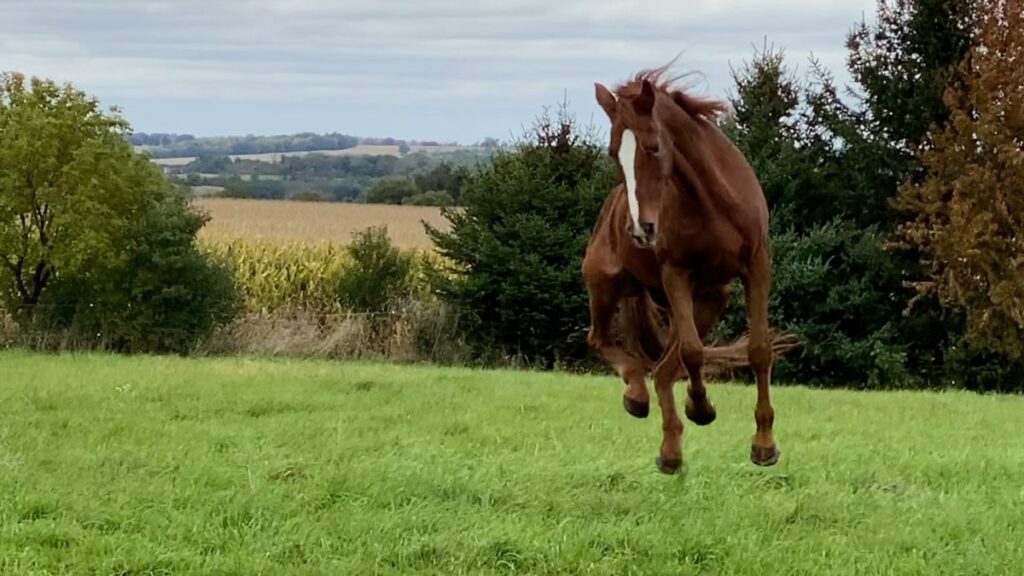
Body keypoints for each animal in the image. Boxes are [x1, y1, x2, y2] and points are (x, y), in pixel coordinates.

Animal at [585, 65, 790, 473]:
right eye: (614, 152)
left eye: (653, 147)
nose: (640, 230)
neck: (711, 202)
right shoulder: (676, 274)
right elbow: (694, 353)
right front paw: (701, 407)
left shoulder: (757, 266)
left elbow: (758, 349)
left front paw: (764, 446)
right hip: (604, 282)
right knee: (604, 342)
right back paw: (639, 400)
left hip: (707, 302)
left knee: (665, 367)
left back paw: (670, 450)